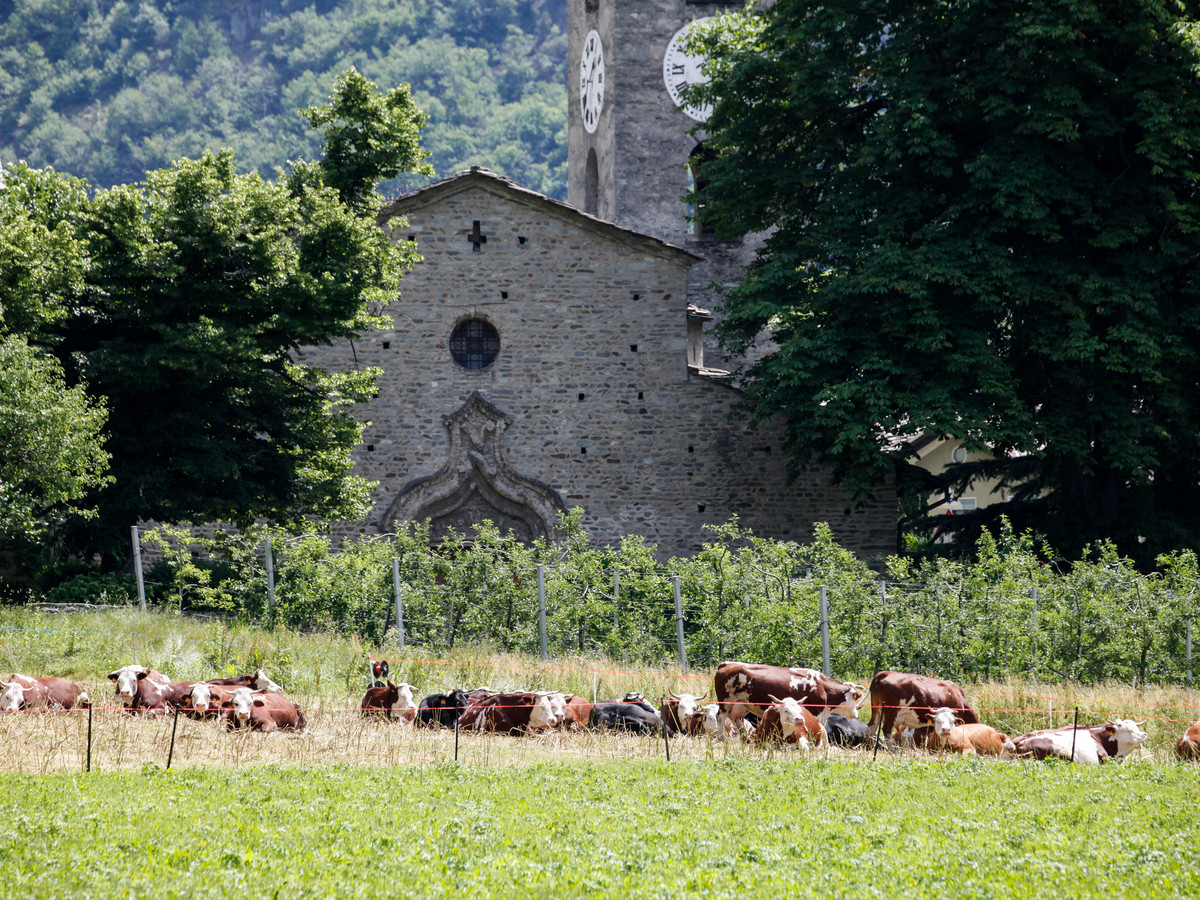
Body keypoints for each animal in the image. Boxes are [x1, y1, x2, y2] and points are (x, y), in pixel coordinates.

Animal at [710, 662, 864, 734]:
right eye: (855, 697)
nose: (856, 714)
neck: (821, 686)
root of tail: (727, 664)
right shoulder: (814, 711)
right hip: (725, 702)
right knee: (721, 718)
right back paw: (721, 738)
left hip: (740, 706)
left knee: (737, 721)